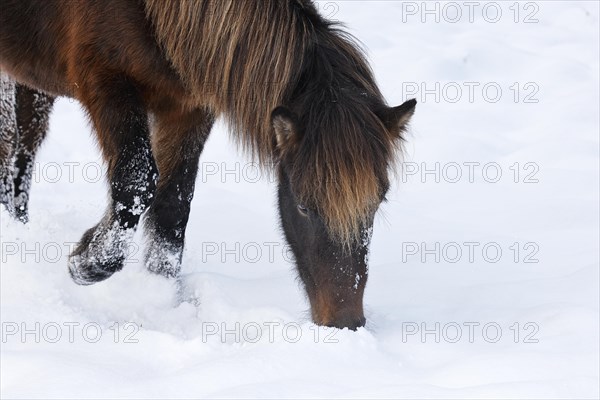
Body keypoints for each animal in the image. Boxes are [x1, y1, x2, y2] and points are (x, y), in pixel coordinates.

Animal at [0, 0, 414, 330]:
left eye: (379, 202)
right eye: (302, 206)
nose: (345, 323)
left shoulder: (188, 105)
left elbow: (172, 204)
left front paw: (159, 296)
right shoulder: (104, 79)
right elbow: (137, 180)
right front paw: (86, 263)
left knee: (25, 147)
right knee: (9, 149)